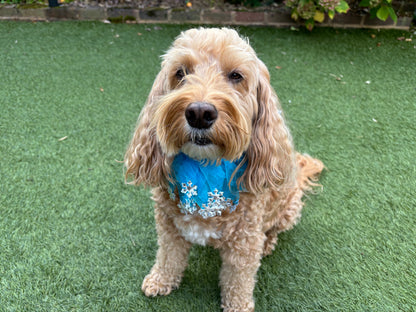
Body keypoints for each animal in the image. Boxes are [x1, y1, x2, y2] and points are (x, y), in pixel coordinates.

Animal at [124, 28, 324, 310]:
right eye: (180, 73)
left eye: (236, 76)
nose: (199, 113)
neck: (204, 172)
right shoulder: (169, 227)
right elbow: (168, 256)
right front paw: (160, 280)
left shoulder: (245, 244)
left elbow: (238, 280)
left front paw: (238, 305)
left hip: (289, 208)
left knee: (274, 228)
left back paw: (268, 243)